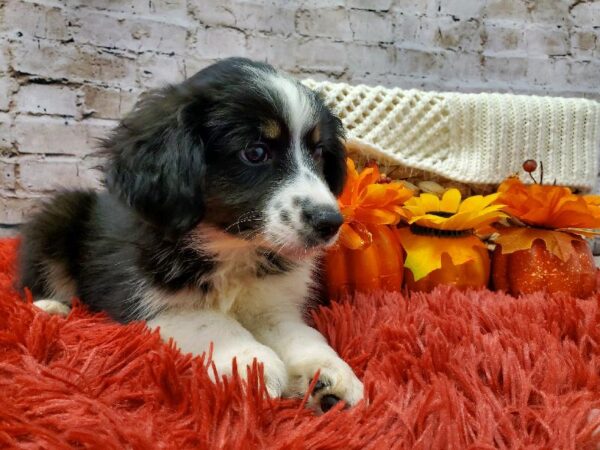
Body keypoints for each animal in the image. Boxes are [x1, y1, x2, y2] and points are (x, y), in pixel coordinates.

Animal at [18, 57, 364, 412]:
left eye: (318, 152)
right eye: (255, 152)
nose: (330, 222)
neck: (232, 247)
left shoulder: (271, 301)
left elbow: (298, 333)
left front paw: (329, 374)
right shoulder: (145, 297)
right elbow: (210, 321)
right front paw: (253, 365)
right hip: (58, 215)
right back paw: (50, 307)